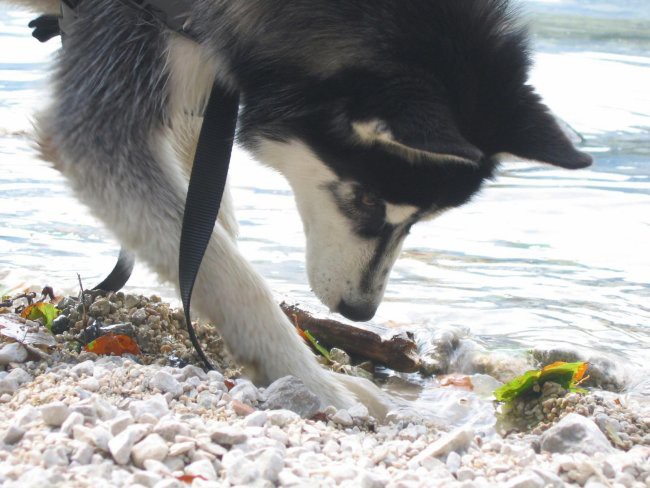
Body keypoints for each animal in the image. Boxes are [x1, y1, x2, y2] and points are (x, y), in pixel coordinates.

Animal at [8, 0, 588, 420]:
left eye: (420, 220)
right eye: (366, 199)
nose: (360, 313)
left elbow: (208, 233)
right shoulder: (103, 118)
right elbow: (230, 274)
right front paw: (317, 383)